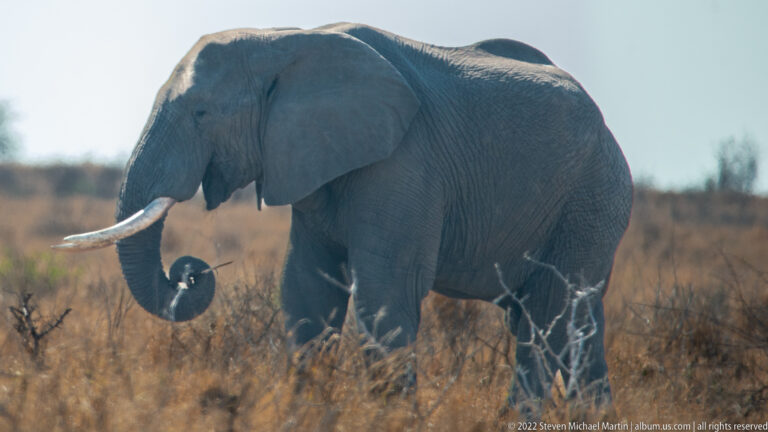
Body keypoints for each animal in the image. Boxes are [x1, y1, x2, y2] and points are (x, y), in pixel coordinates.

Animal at [56, 23, 632, 412]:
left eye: (200, 114)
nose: (189, 271)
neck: (285, 42)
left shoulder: (404, 161)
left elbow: (384, 290)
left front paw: (390, 417)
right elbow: (306, 289)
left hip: (591, 198)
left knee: (550, 316)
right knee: (568, 322)